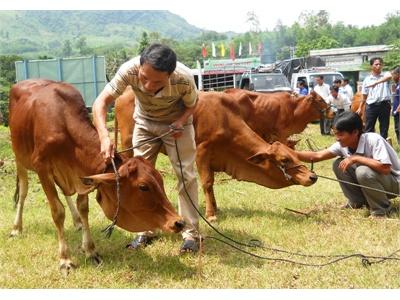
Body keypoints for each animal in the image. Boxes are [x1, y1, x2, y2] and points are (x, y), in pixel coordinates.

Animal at [9, 78, 184, 274]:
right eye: (143, 186)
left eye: (161, 181)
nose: (178, 222)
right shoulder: (43, 169)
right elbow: (57, 212)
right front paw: (65, 259)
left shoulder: (82, 173)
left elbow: (83, 207)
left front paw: (90, 249)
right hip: (19, 157)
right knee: (23, 191)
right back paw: (16, 228)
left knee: (65, 194)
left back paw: (77, 221)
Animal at [114, 88, 318, 221]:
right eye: (284, 159)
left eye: (294, 155)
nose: (312, 176)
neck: (225, 118)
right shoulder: (202, 151)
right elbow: (207, 182)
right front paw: (211, 214)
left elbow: (211, 184)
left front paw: (215, 207)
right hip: (129, 143)